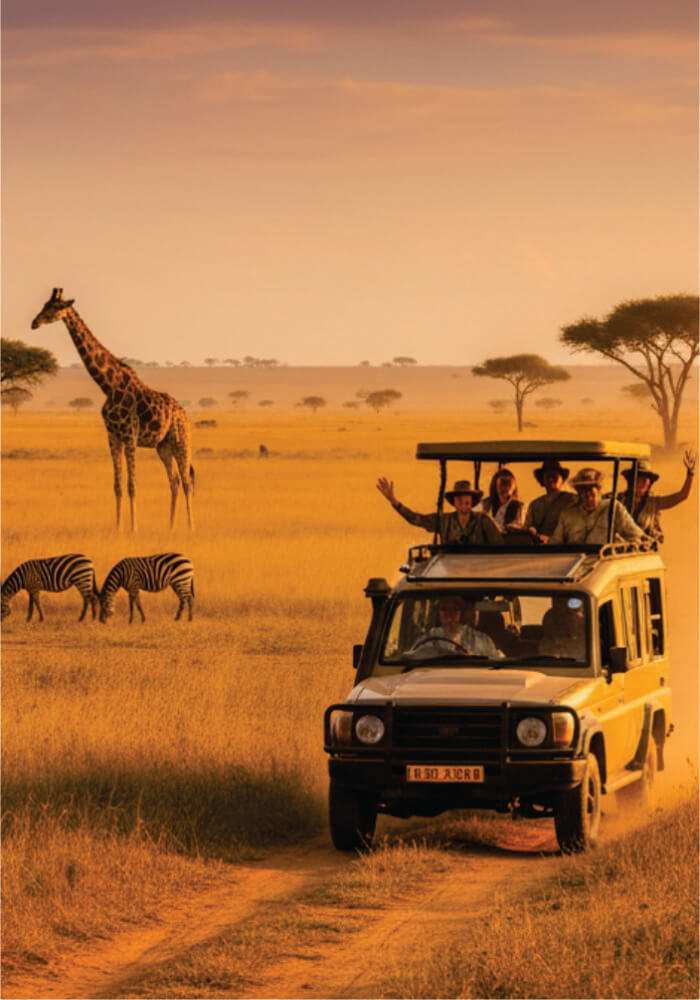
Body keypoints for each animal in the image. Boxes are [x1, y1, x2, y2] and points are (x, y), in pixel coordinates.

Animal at [31, 288, 194, 531]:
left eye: (55, 307)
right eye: (44, 304)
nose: (34, 323)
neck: (108, 385)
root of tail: (184, 414)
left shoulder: (130, 436)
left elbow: (132, 485)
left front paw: (134, 529)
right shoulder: (113, 436)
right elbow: (117, 486)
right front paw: (117, 529)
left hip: (180, 440)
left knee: (186, 482)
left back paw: (191, 527)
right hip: (162, 446)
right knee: (173, 482)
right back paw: (170, 526)